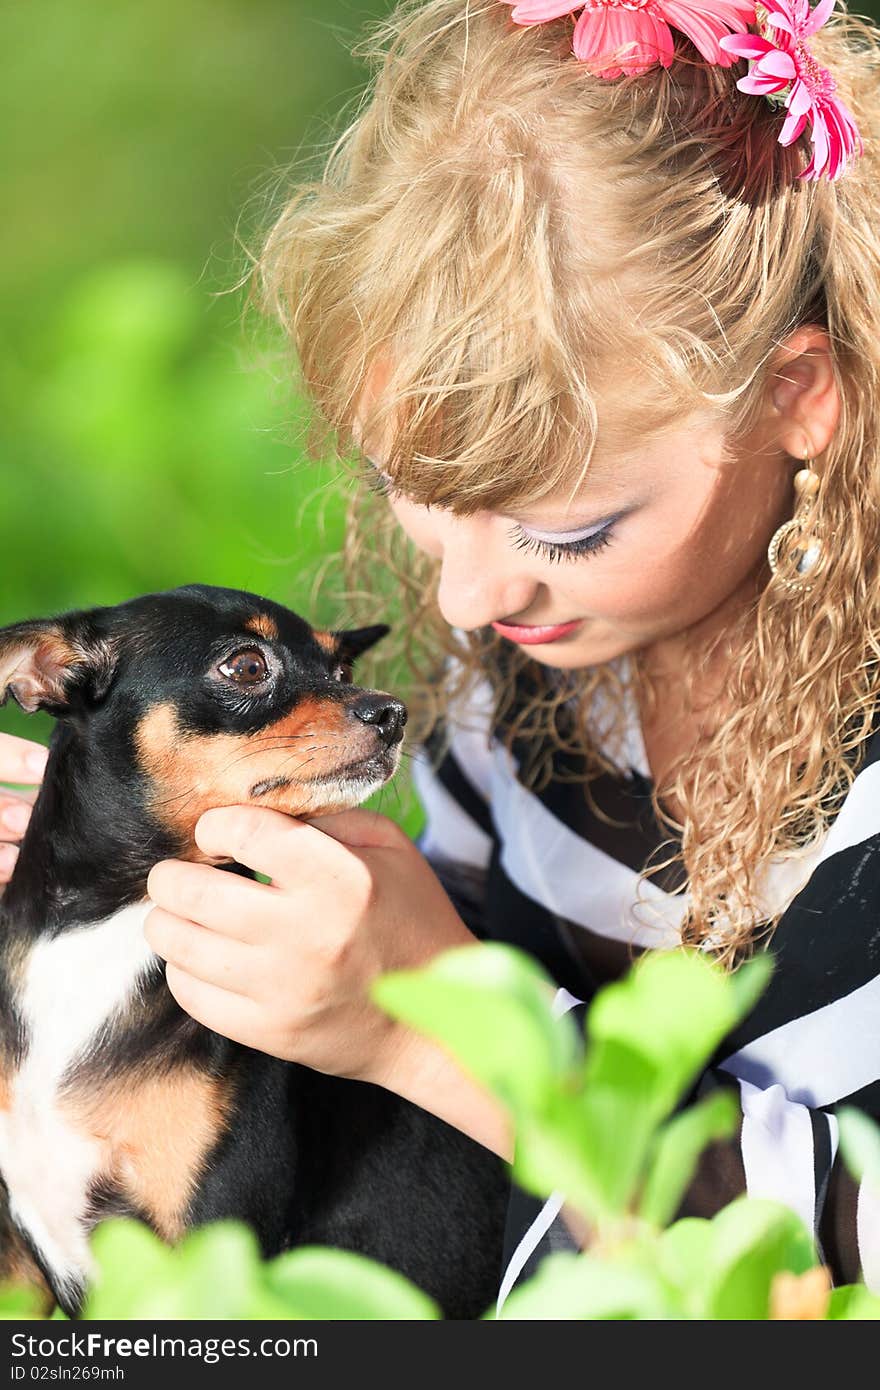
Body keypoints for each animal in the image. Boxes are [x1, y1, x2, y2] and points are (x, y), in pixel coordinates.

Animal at [0, 583, 508, 1312]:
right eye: (246, 666)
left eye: (341, 669)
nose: (392, 712)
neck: (101, 928)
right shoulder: (17, 1262)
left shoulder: (212, 1250)